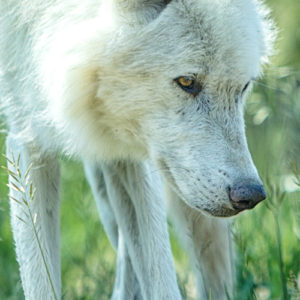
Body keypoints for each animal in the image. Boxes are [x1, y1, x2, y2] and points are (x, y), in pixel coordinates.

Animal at [0, 0, 274, 298]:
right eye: (187, 82)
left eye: (244, 87)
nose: (251, 194)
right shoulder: (26, 135)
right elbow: (40, 281)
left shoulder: (131, 154)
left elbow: (162, 280)